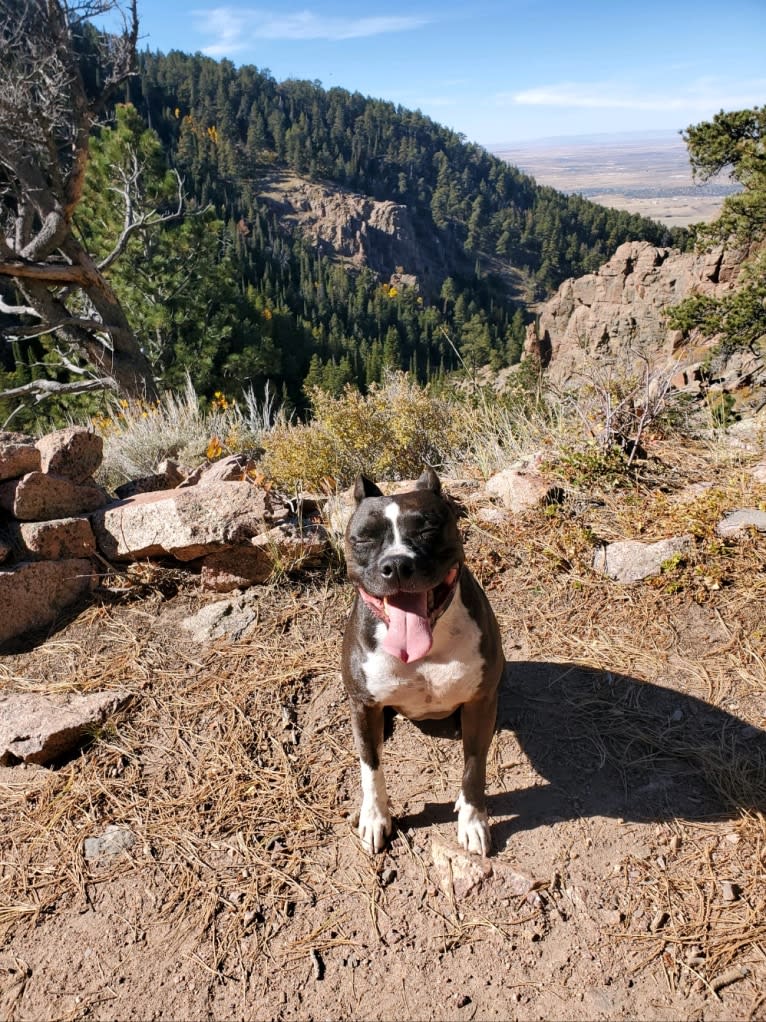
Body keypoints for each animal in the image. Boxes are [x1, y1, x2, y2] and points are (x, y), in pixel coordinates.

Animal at [345, 468, 506, 854]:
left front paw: (472, 820)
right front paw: (375, 817)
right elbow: (370, 767)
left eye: (428, 528)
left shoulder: (481, 701)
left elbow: (474, 768)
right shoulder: (361, 705)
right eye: (364, 538)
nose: (396, 564)